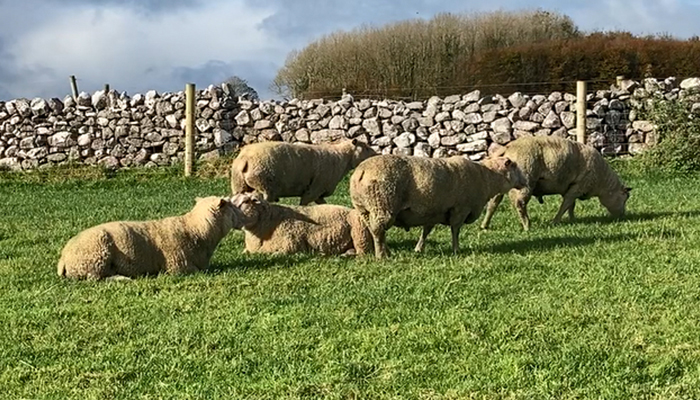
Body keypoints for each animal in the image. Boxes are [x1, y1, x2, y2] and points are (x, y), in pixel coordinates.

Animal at [57, 196, 242, 280]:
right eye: (231, 206)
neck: (195, 230)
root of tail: (63, 258)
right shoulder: (179, 267)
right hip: (95, 258)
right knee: (96, 278)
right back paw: (122, 279)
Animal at [230, 138, 376, 205]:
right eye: (366, 147)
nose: (376, 155)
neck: (341, 158)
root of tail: (244, 159)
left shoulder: (319, 193)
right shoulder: (313, 189)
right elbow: (304, 205)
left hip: (239, 185)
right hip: (264, 185)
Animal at [349, 154, 527, 259]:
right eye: (515, 167)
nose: (525, 182)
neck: (486, 177)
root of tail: (360, 172)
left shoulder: (433, 211)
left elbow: (426, 231)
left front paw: (418, 248)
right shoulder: (460, 209)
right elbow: (455, 230)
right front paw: (456, 250)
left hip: (365, 208)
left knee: (373, 229)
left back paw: (387, 252)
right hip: (382, 204)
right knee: (378, 230)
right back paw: (382, 256)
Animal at [479, 136, 632, 231]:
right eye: (625, 198)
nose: (622, 216)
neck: (603, 182)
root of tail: (508, 146)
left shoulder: (572, 187)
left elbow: (571, 206)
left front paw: (572, 220)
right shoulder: (578, 186)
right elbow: (566, 205)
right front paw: (556, 221)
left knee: (493, 203)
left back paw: (484, 225)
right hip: (526, 181)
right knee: (520, 203)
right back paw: (527, 226)